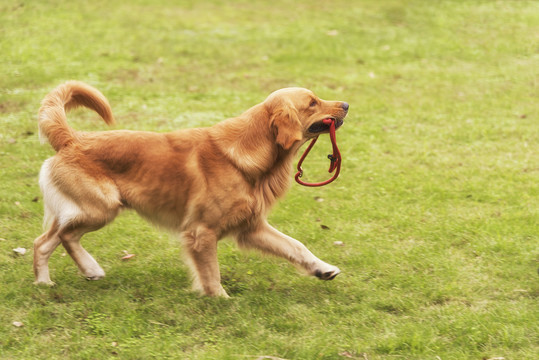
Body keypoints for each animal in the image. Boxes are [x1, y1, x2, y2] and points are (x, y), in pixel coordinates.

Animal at [33, 81, 348, 296]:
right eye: (312, 103)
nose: (346, 105)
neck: (247, 151)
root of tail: (72, 138)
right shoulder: (202, 232)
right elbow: (211, 273)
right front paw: (220, 300)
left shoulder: (251, 227)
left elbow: (295, 245)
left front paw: (322, 269)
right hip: (102, 207)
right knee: (59, 238)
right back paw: (77, 272)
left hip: (88, 209)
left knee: (47, 240)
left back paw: (55, 279)